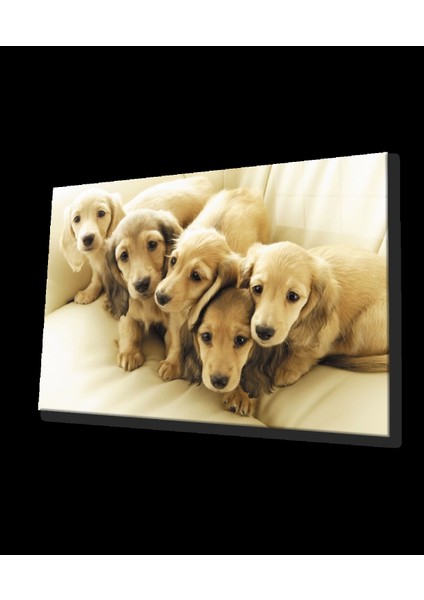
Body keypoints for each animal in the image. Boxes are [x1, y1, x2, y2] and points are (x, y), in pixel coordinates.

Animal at [240, 241, 388, 392]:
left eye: (293, 296)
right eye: (257, 288)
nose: (263, 332)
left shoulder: (326, 331)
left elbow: (309, 350)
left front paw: (290, 368)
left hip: (365, 322)